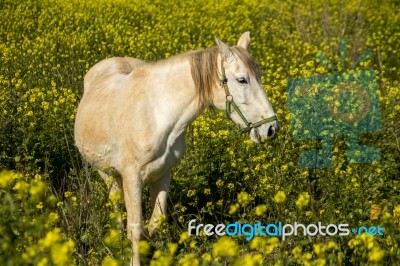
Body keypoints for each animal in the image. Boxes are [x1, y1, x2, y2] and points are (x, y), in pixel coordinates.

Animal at [74, 32, 278, 264]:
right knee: (116, 209)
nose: (271, 128)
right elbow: (135, 228)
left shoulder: (163, 174)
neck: (157, 113)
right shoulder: (132, 177)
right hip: (106, 173)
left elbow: (155, 222)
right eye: (242, 80)